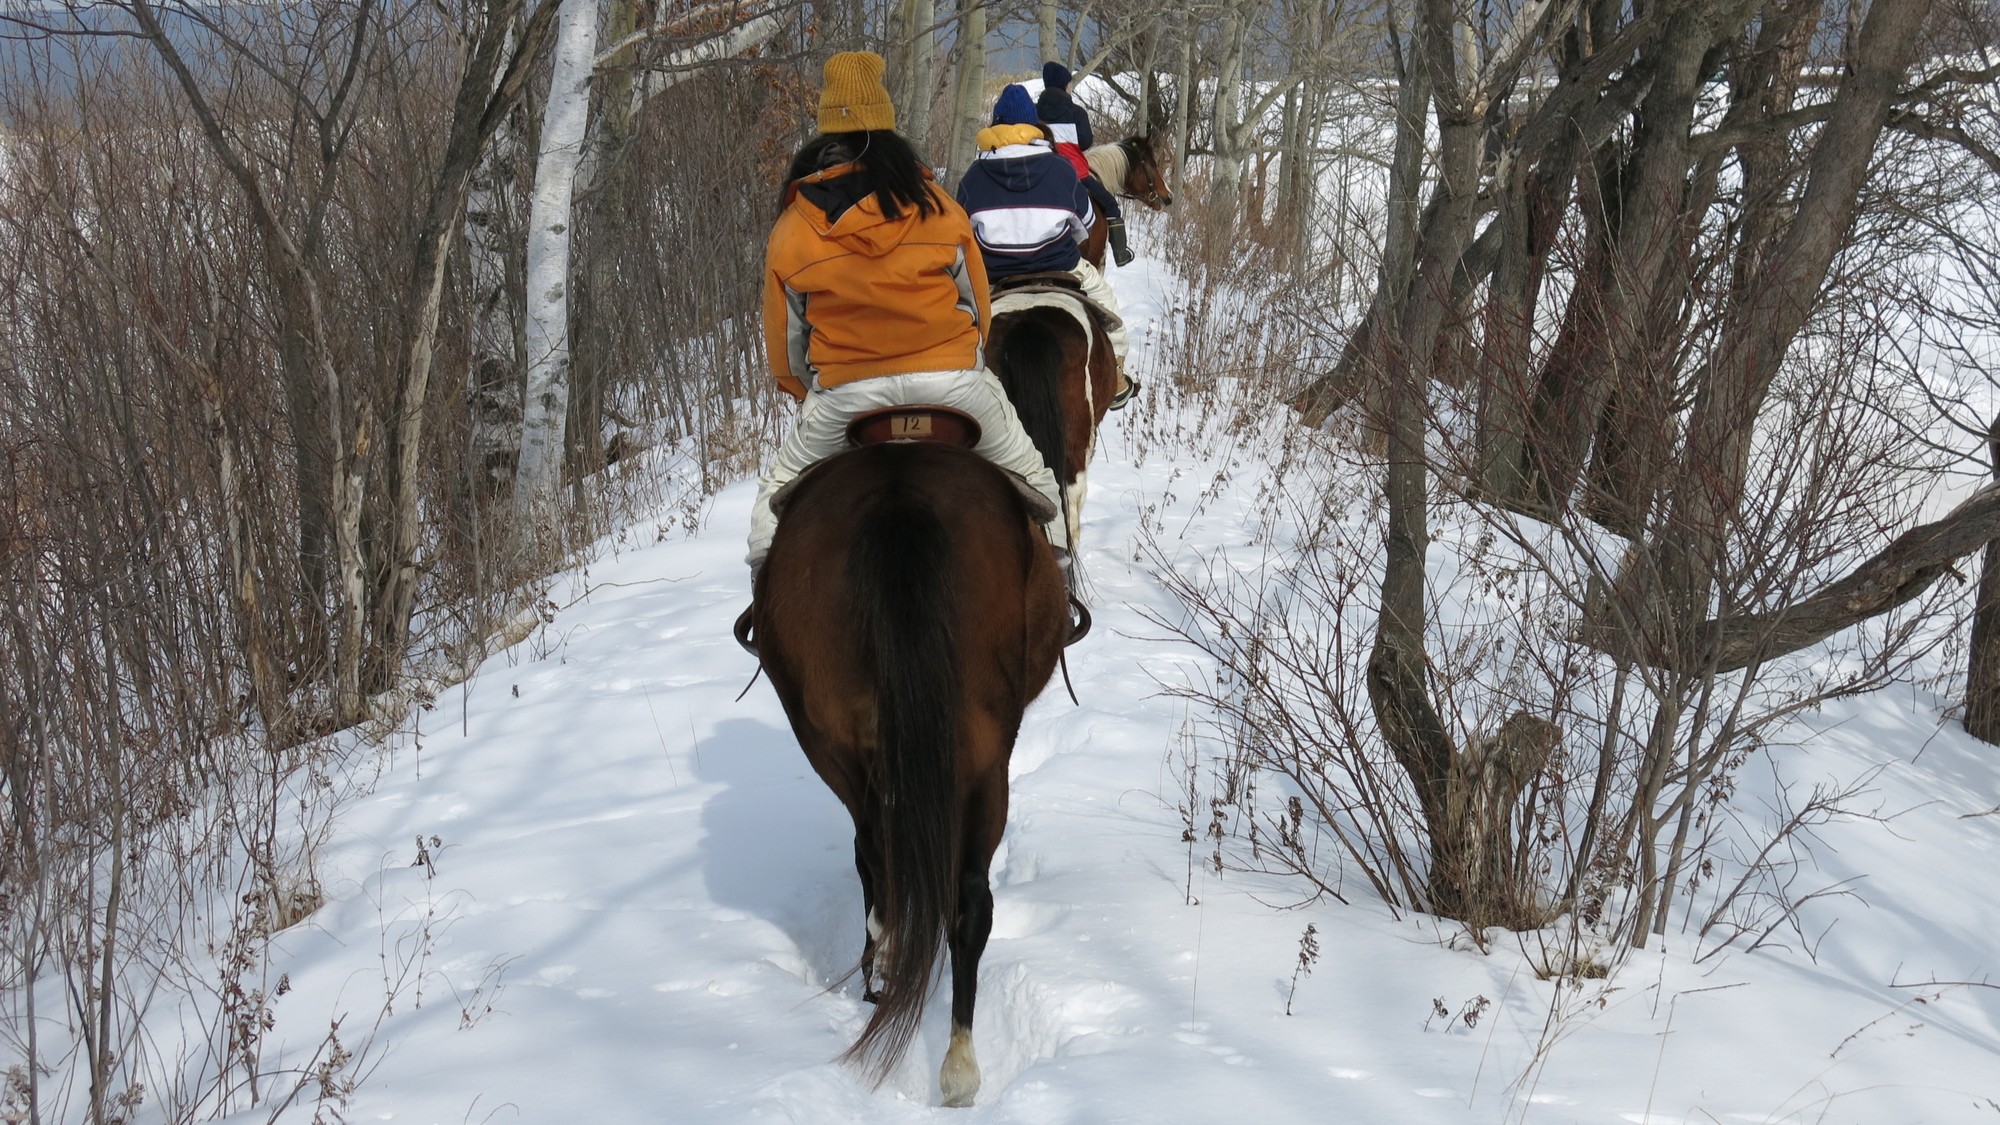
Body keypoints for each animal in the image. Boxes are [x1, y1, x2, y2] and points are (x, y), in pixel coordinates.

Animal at [748, 426, 1069, 1107]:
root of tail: (898, 499)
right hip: (979, 752)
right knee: (959, 892)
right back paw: (956, 1062)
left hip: (838, 744)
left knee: (888, 856)